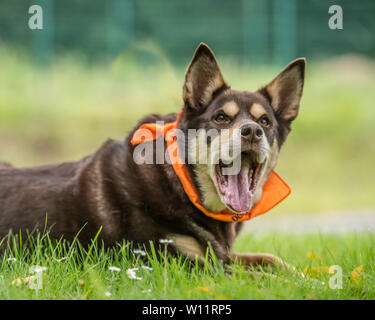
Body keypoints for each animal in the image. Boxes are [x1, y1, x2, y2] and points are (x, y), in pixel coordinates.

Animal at [0, 43, 306, 272]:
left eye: (265, 121)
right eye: (221, 118)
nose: (252, 131)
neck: (182, 183)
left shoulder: (221, 257)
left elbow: (274, 261)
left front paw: (305, 276)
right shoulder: (186, 265)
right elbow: (261, 276)